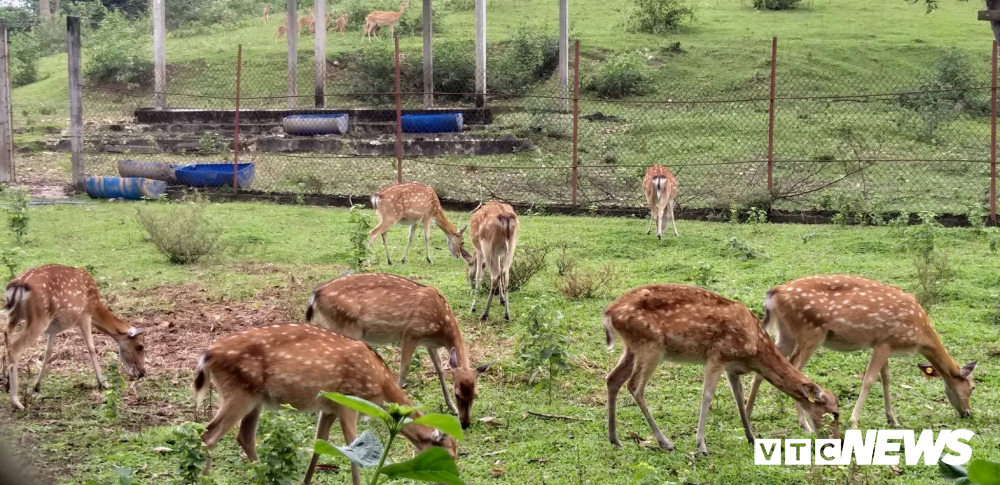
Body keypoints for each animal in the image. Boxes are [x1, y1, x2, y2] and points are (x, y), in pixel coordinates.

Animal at [1, 264, 146, 408]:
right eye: (140, 346)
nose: (142, 373)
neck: (96, 306)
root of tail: (17, 286)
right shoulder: (85, 315)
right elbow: (91, 348)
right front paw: (103, 383)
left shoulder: (53, 329)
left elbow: (48, 352)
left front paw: (37, 386)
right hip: (39, 318)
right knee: (15, 348)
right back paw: (16, 401)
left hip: (14, 316)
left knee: (6, 336)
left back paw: (7, 385)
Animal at [193, 322, 458, 484]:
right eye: (448, 454)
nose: (453, 474)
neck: (381, 386)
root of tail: (207, 356)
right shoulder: (348, 401)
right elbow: (353, 450)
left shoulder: (329, 408)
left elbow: (319, 445)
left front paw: (306, 481)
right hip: (239, 393)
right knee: (209, 436)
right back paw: (204, 478)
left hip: (255, 398)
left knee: (244, 436)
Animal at [304, 272, 492, 428]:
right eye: (458, 394)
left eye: (475, 394)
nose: (465, 423)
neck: (442, 328)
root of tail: (314, 297)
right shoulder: (410, 334)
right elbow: (403, 370)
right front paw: (396, 409)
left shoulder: (429, 344)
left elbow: (440, 369)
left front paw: (451, 408)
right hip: (345, 325)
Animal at [600, 284, 844, 454]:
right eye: (833, 413)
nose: (838, 441)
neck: (754, 349)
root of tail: (608, 314)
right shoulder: (717, 355)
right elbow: (707, 395)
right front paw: (701, 445)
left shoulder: (732, 368)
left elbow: (739, 398)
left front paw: (752, 438)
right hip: (651, 345)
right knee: (635, 386)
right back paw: (665, 442)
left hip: (633, 347)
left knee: (612, 379)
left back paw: (615, 439)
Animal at [748, 274, 972, 430]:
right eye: (972, 387)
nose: (968, 413)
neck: (921, 333)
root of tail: (773, 294)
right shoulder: (886, 343)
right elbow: (869, 380)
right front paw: (854, 421)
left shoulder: (882, 343)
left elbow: (886, 378)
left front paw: (893, 419)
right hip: (811, 331)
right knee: (794, 371)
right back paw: (805, 425)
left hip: (786, 334)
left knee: (765, 367)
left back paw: (748, 415)